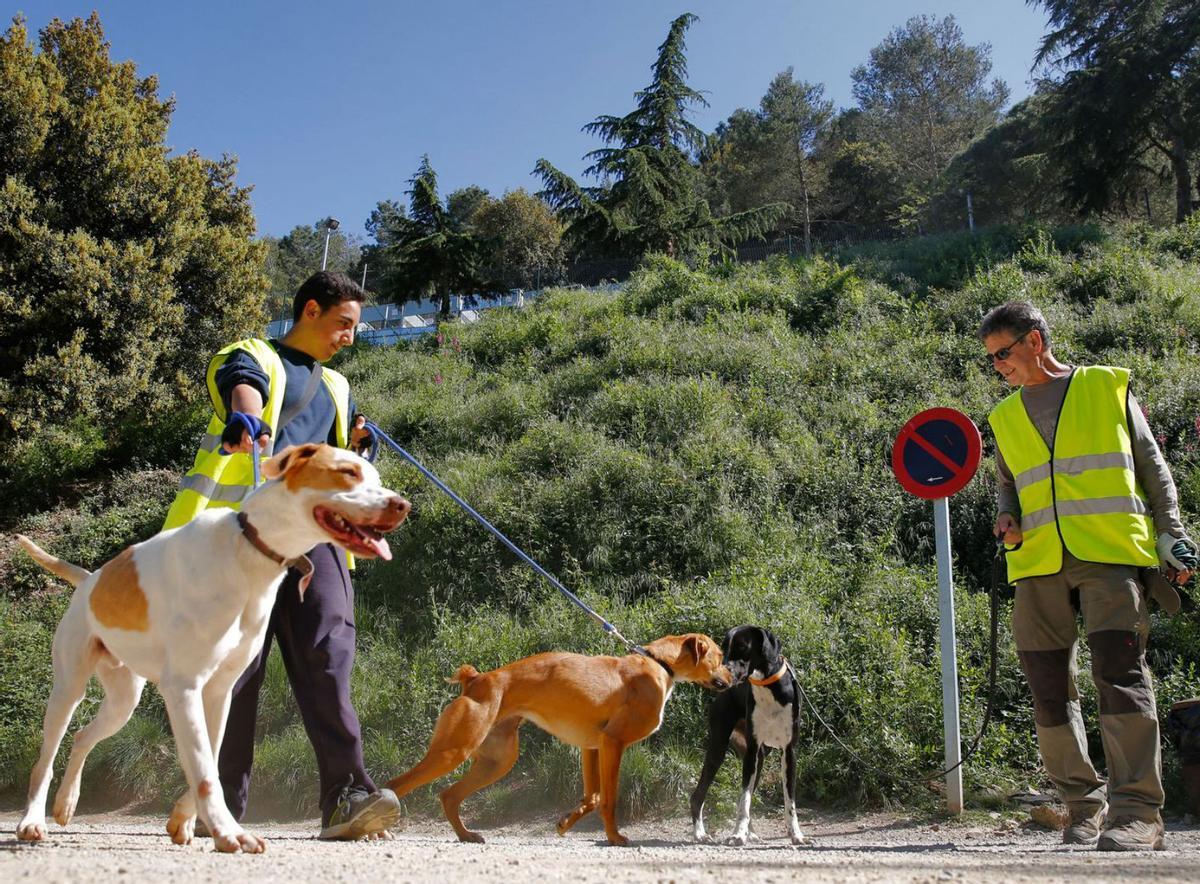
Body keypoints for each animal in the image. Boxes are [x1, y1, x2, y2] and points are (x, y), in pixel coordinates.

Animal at [12, 443, 412, 854]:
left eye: (376, 477)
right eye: (347, 472)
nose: (403, 505)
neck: (250, 550)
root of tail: (90, 578)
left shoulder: (220, 690)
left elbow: (211, 759)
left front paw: (185, 820)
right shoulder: (184, 687)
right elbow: (205, 769)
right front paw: (228, 831)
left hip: (123, 702)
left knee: (82, 738)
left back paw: (66, 803)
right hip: (68, 690)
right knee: (45, 760)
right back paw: (32, 821)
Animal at [384, 633, 729, 844]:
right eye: (720, 655)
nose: (733, 675)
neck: (659, 663)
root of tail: (478, 679)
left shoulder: (593, 746)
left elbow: (592, 798)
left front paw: (565, 822)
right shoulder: (613, 743)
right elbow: (609, 799)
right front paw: (615, 838)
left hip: (495, 763)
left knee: (449, 796)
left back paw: (466, 835)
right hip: (452, 752)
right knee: (396, 784)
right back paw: (381, 830)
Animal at [691, 623, 801, 844]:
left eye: (742, 646)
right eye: (724, 647)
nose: (720, 677)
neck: (768, 686)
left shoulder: (789, 752)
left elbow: (789, 802)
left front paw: (797, 835)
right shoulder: (751, 751)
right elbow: (745, 801)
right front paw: (738, 834)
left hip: (759, 760)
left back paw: (752, 833)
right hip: (719, 749)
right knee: (698, 796)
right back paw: (700, 833)